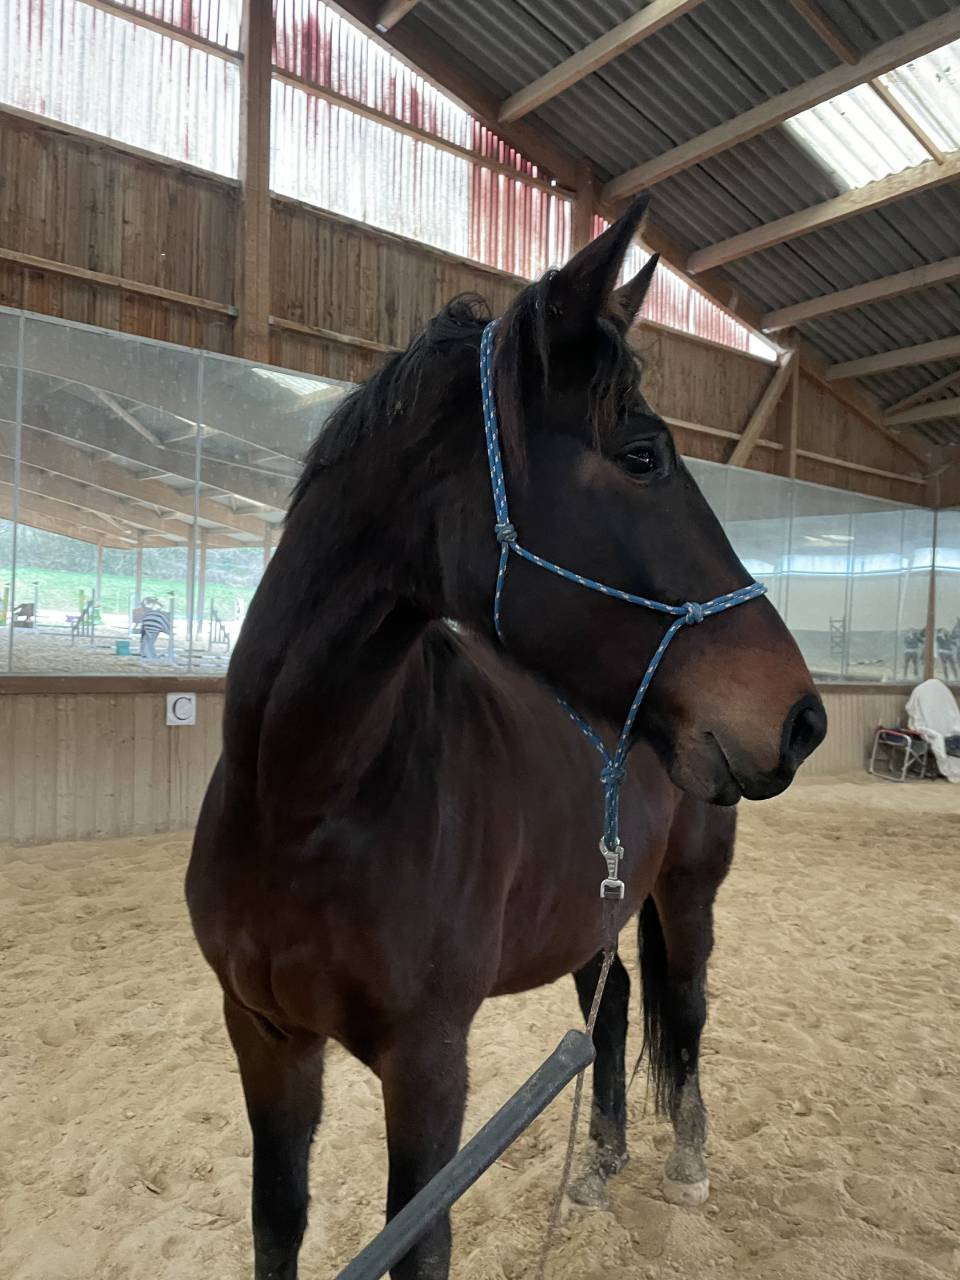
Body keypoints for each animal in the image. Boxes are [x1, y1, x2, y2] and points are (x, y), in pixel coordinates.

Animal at [186, 198, 826, 1280]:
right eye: (643, 455)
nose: (802, 716)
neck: (303, 800)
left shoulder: (428, 1064)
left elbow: (417, 1243)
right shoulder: (265, 1038)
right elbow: (278, 1222)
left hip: (687, 895)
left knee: (687, 1007)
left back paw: (686, 1163)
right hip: (591, 907)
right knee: (614, 1010)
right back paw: (598, 1165)